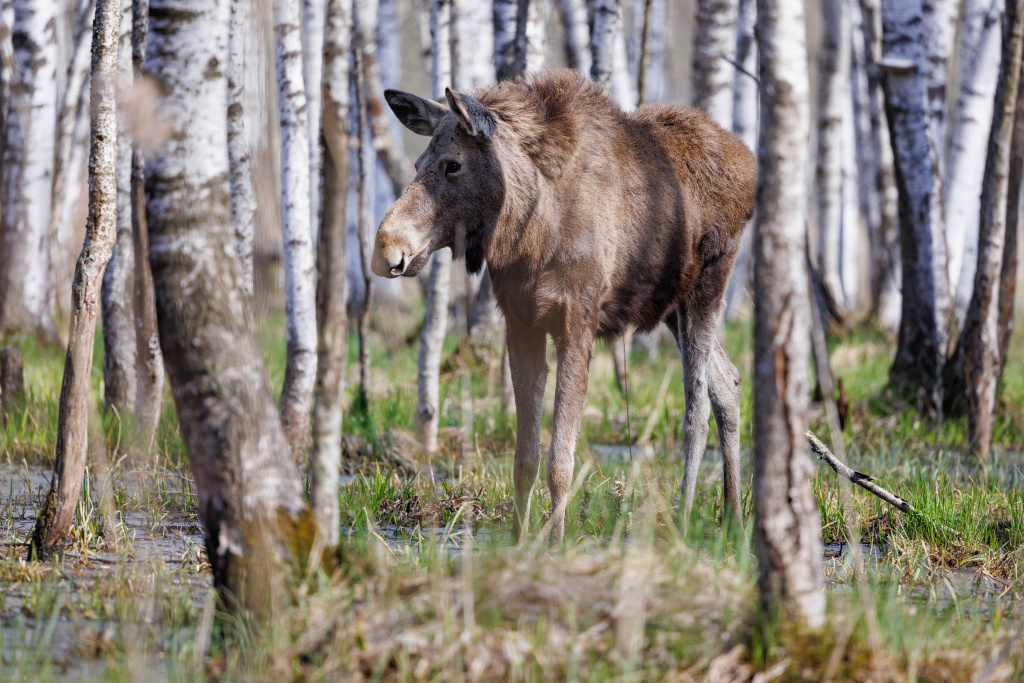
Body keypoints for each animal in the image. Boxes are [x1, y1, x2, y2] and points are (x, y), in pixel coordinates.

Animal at [372, 69, 756, 543]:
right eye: (416, 165)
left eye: (452, 164)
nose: (387, 249)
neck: (529, 230)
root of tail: (748, 163)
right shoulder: (521, 324)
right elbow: (525, 458)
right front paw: (519, 539)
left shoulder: (578, 323)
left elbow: (560, 460)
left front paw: (553, 540)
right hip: (671, 307)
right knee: (729, 381)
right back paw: (733, 517)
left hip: (707, 285)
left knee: (696, 407)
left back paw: (685, 516)